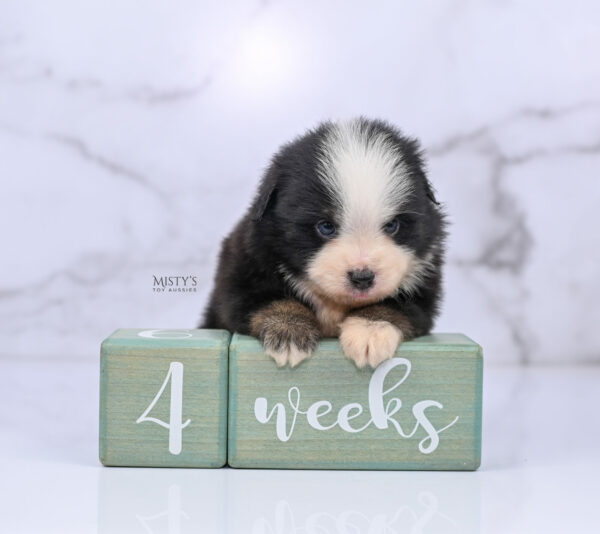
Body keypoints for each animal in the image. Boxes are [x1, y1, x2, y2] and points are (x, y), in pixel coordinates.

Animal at [202, 118, 446, 370]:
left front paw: (370, 329)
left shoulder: (425, 283)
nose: (362, 278)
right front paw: (289, 330)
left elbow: (397, 305)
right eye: (326, 227)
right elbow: (272, 300)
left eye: (392, 225)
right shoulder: (243, 269)